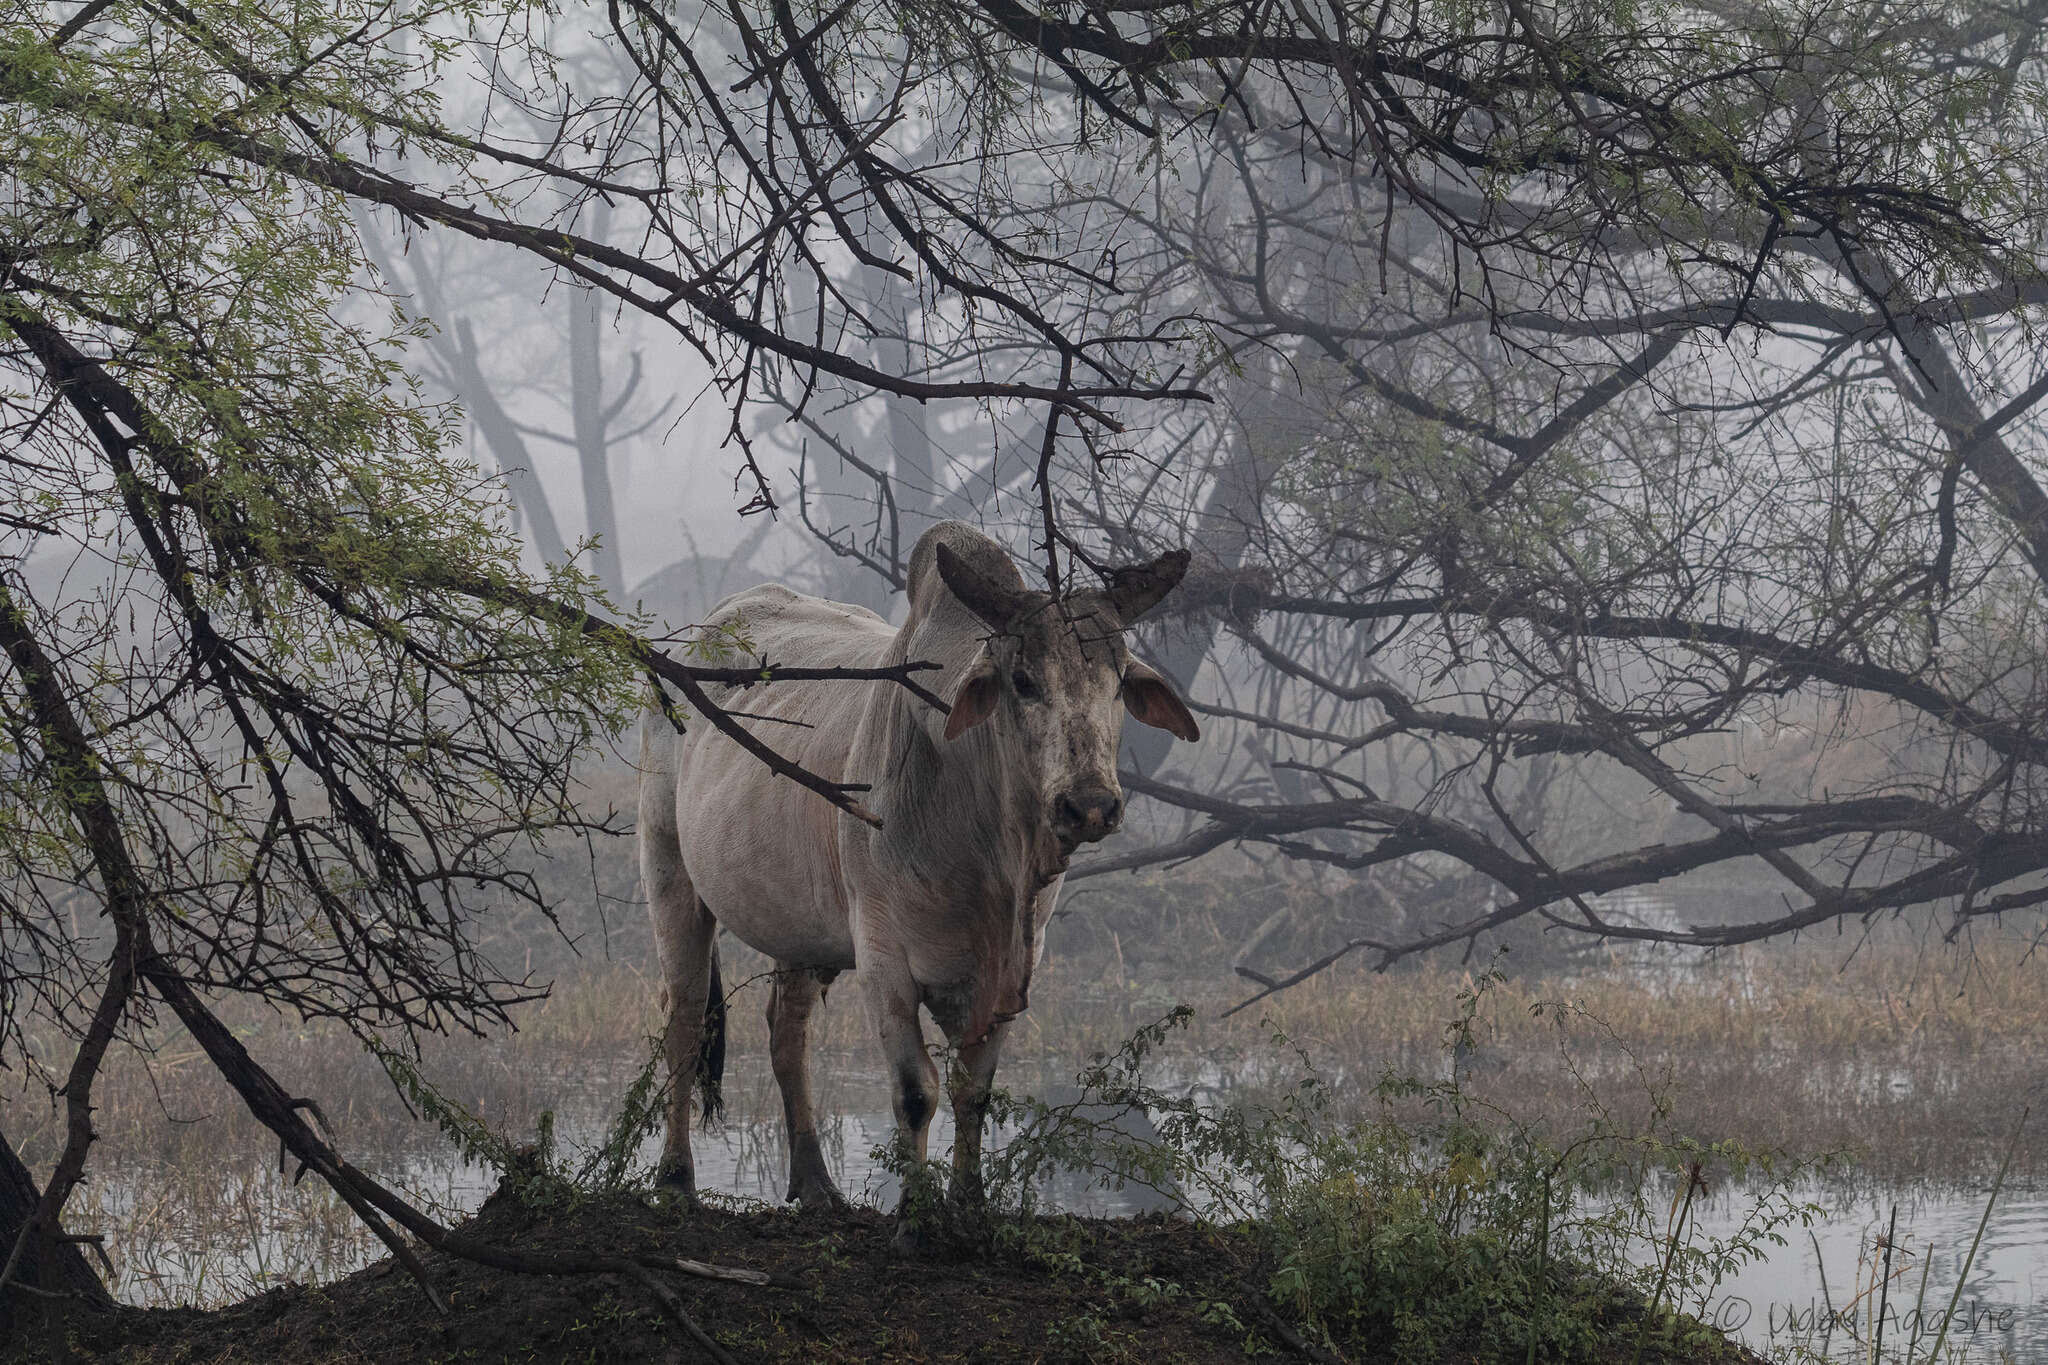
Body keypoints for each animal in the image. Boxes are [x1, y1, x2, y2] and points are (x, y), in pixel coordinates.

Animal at [638, 517, 1196, 1219]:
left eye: (1120, 682)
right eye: (1023, 680)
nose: (1091, 804)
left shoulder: (1015, 969)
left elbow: (972, 1091)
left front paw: (968, 1205)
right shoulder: (885, 960)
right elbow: (915, 1093)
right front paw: (916, 1211)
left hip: (800, 930)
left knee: (786, 1034)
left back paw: (816, 1184)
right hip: (669, 869)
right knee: (684, 1021)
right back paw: (675, 1179)